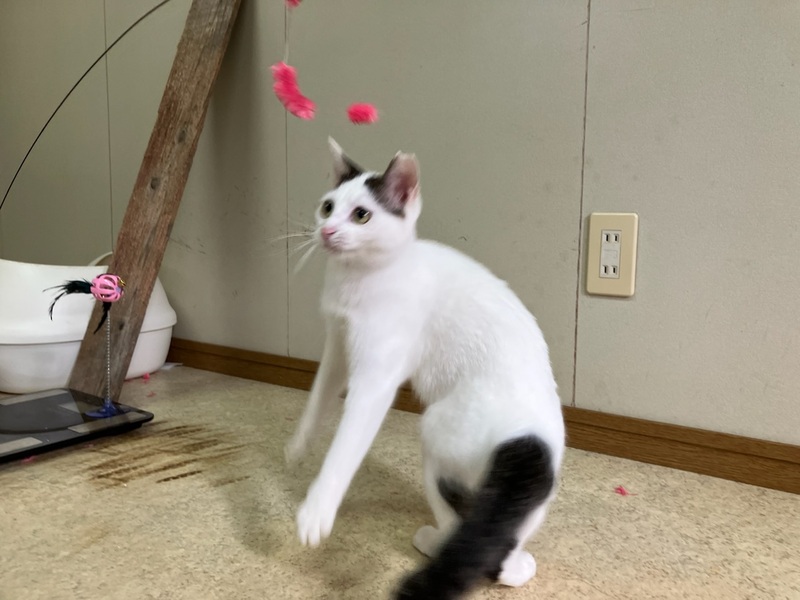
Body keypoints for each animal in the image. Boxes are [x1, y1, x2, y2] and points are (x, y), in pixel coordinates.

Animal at [285, 138, 566, 599]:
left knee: (469, 531)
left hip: (438, 429)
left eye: (361, 215)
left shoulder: (377, 372)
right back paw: (518, 562)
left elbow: (346, 445)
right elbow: (320, 391)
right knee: (500, 548)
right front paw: (299, 443)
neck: (358, 281)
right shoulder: (339, 343)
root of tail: (528, 445)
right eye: (327, 207)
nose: (326, 231)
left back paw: (433, 541)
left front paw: (317, 509)